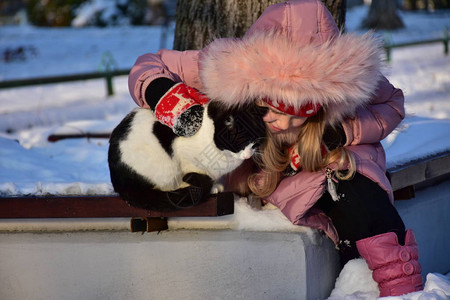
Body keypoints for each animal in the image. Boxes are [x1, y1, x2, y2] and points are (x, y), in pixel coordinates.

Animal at [107, 102, 266, 212]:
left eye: (254, 144)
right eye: (241, 143)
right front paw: (208, 186)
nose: (247, 155)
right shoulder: (185, 155)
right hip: (162, 166)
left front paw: (215, 185)